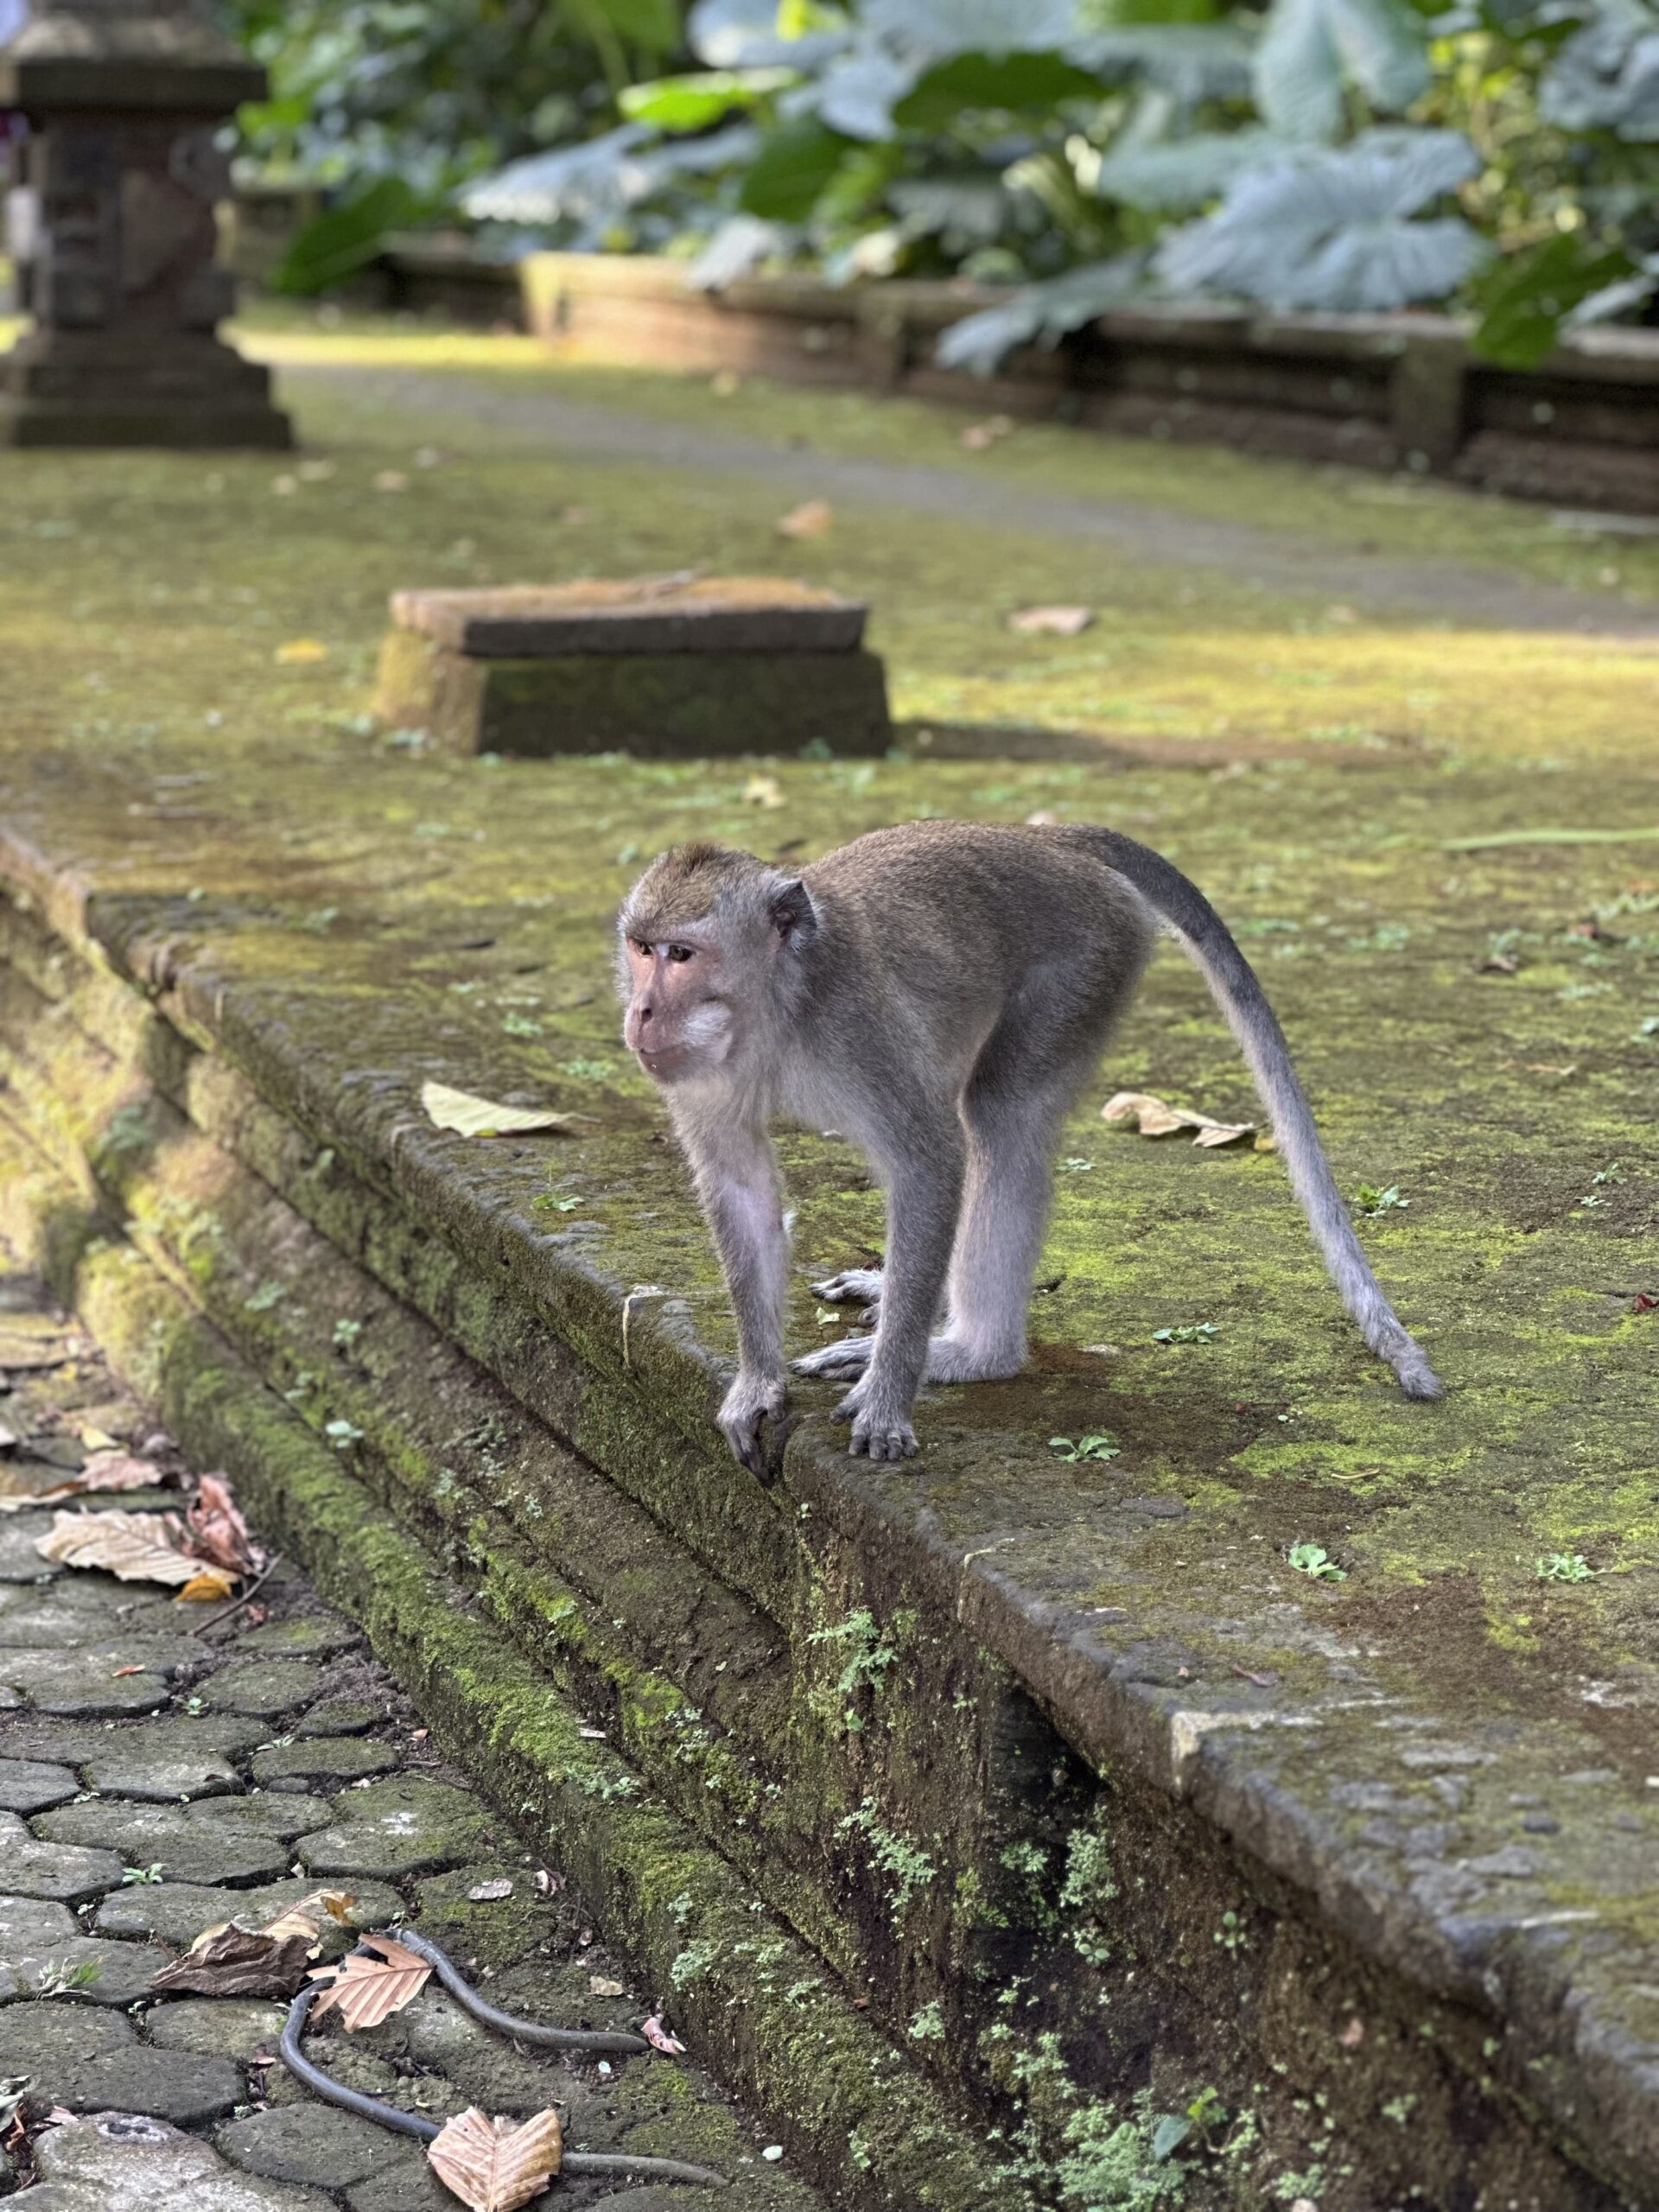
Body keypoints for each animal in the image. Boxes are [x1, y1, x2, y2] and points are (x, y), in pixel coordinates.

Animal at [617, 821, 1440, 1470]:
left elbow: (931, 1165)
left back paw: (970, 1352)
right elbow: (742, 1190)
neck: (778, 1007)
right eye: (640, 948)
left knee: (1001, 1117)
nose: (641, 1012)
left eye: (682, 955)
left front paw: (889, 1396)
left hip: (1089, 963)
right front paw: (757, 1388)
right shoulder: (700, 1076)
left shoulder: (860, 1028)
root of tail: (1049, 838)